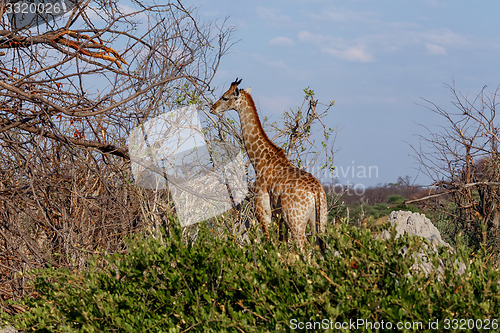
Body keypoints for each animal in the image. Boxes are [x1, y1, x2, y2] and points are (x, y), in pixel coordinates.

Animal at [209, 78, 326, 254]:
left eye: (224, 97)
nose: (212, 108)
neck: (260, 161)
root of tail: (316, 192)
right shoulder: (279, 215)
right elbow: (281, 243)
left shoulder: (263, 209)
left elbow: (269, 241)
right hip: (320, 221)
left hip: (295, 221)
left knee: (304, 248)